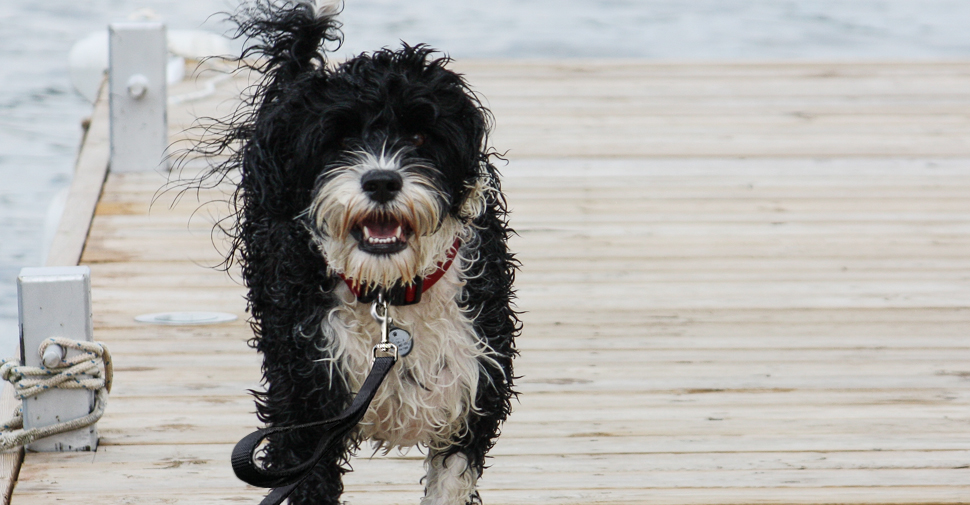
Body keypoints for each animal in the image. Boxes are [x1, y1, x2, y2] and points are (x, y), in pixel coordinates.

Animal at [194, 0, 520, 504]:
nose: (381, 181)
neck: (391, 292)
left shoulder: (472, 402)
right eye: (340, 138)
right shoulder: (305, 415)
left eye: (421, 137)